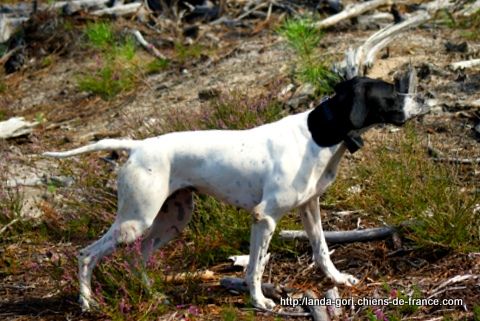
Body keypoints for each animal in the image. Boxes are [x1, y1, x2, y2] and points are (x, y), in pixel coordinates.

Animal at [42, 74, 424, 310]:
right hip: (135, 221)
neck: (320, 133)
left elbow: (321, 250)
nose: (422, 98)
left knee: (138, 258)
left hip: (171, 220)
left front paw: (337, 279)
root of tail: (137, 147)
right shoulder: (265, 218)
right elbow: (254, 267)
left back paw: (153, 294)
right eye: (391, 92)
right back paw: (88, 303)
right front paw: (259, 302)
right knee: (86, 255)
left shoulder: (310, 207)